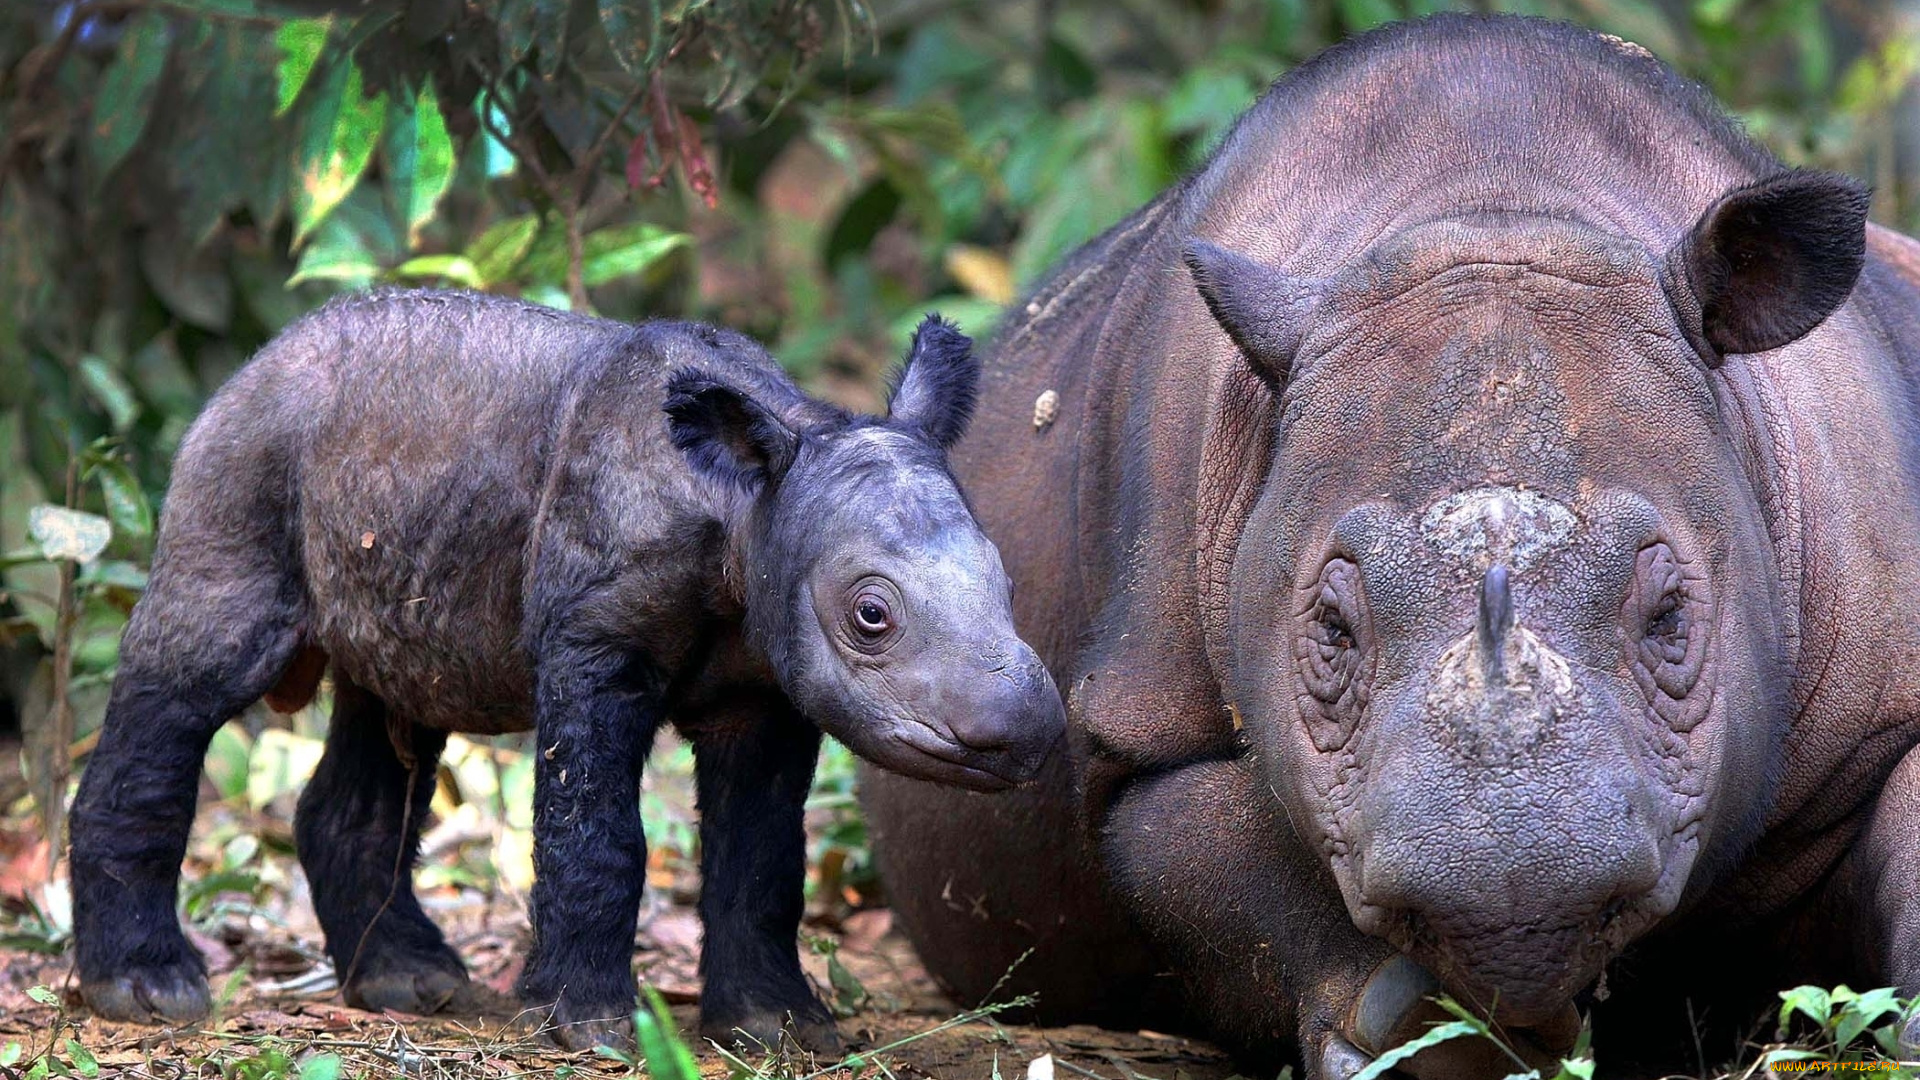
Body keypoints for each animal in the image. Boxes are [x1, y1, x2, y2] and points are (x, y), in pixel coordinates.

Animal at [861, 14, 1920, 1077]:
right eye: (1332, 630)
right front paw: (1429, 1036)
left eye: (1670, 619)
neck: (1496, 206)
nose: (1514, 898)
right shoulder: (1142, 718)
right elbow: (1209, 850)